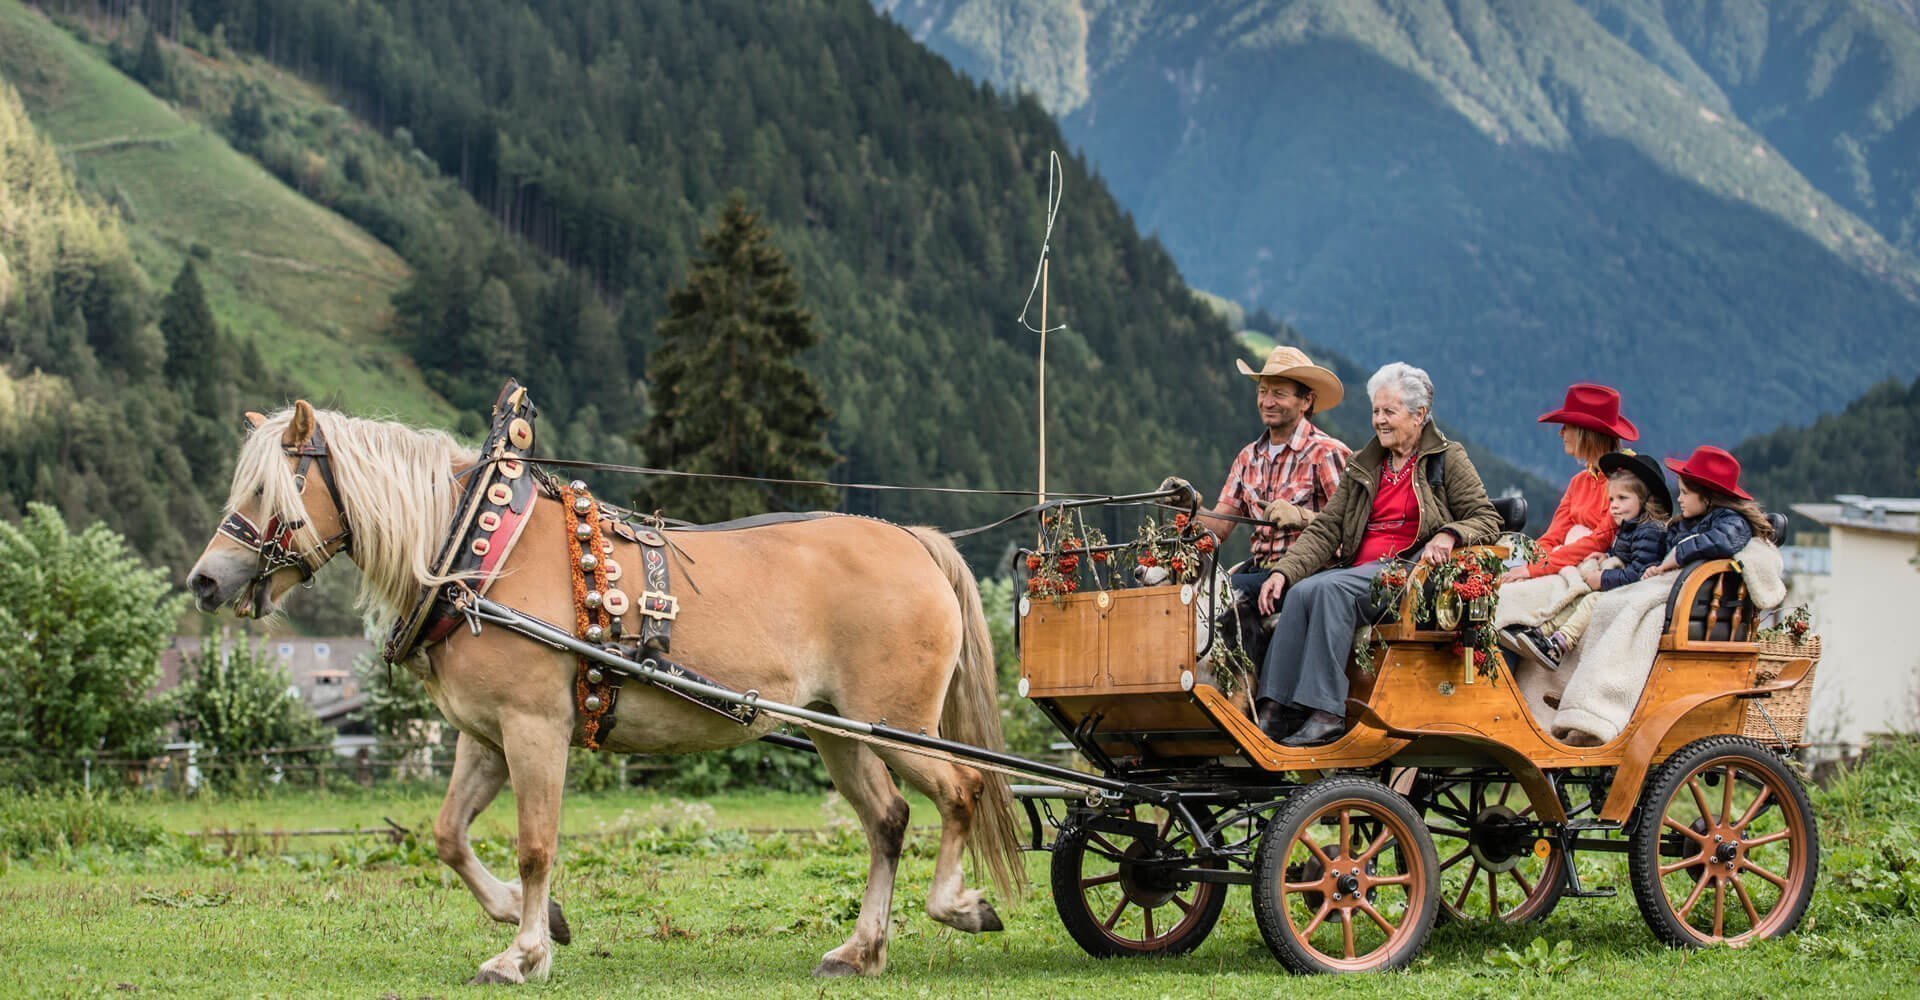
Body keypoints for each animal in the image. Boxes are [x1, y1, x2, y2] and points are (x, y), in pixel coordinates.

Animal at [187, 399, 1029, 982]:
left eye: (266, 489)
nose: (204, 580)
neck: (478, 558)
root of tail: (913, 541)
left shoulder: (533, 729)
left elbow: (535, 845)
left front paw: (521, 954)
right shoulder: (484, 738)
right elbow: (450, 836)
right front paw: (531, 920)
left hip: (895, 723)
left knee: (961, 792)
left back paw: (956, 905)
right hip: (837, 730)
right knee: (888, 820)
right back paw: (861, 949)